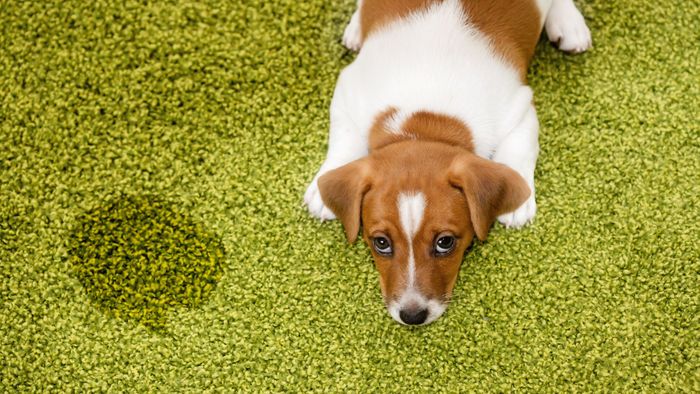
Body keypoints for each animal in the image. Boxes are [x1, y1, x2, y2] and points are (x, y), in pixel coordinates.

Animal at [302, 0, 592, 326]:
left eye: (445, 242)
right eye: (381, 243)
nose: (412, 316)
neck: (425, 120)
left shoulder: (519, 108)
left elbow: (519, 150)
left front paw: (518, 200)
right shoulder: (348, 90)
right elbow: (343, 138)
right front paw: (323, 188)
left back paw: (568, 22)